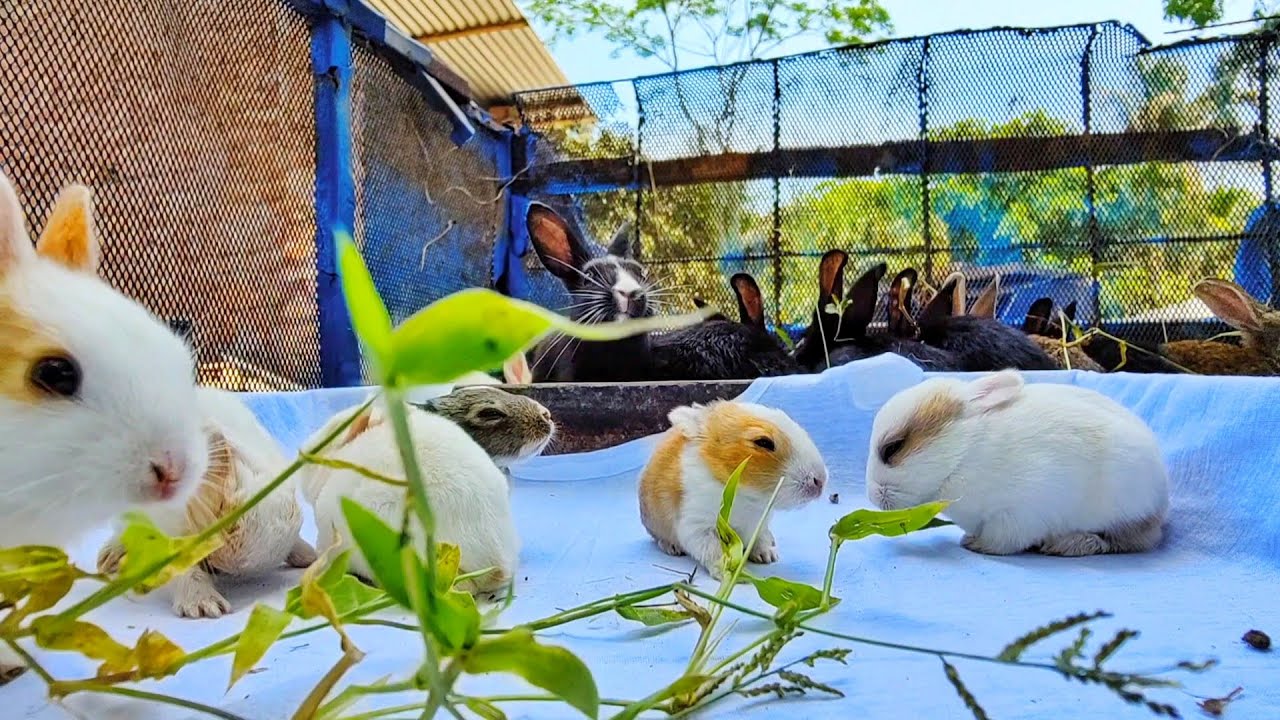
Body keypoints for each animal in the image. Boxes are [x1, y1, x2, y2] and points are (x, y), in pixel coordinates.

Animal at [638, 400, 828, 580]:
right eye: (763, 442)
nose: (820, 481)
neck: (746, 495)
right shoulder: (697, 526)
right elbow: (714, 551)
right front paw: (728, 573)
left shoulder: (758, 524)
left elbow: (758, 539)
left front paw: (768, 557)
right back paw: (672, 548)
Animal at [866, 369, 1169, 557]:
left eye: (892, 448)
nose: (873, 497)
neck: (964, 452)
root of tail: (1160, 506)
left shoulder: (1017, 513)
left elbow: (1003, 540)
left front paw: (975, 544)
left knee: (1116, 542)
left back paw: (1066, 544)